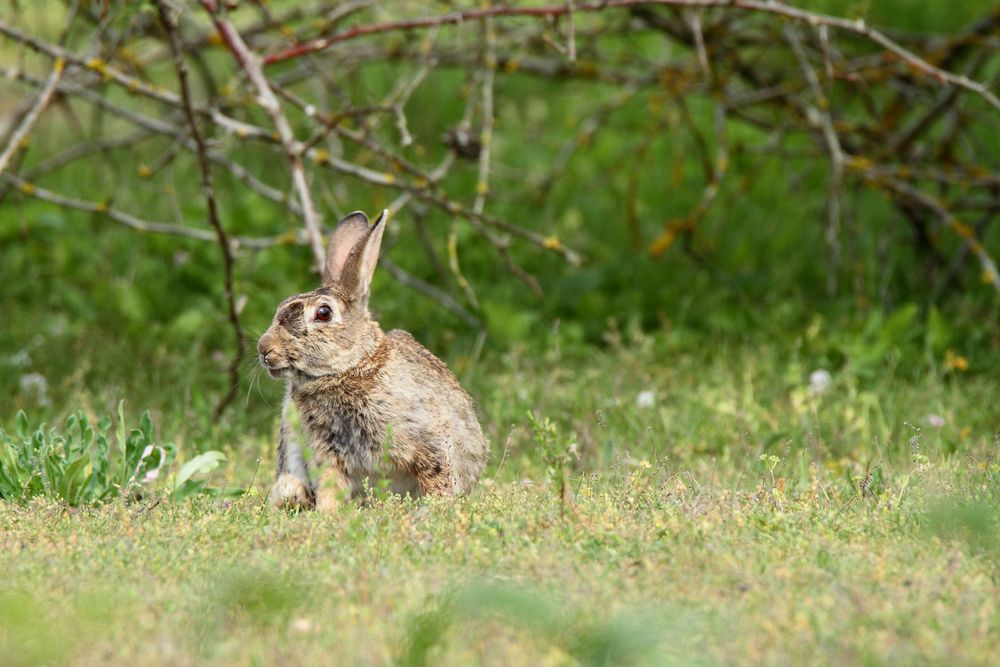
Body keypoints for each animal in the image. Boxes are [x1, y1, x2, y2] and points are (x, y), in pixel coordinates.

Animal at [258, 209, 488, 512]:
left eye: (323, 313)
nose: (264, 349)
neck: (348, 369)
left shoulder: (430, 442)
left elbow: (437, 477)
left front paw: (436, 510)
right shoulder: (326, 453)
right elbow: (331, 485)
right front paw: (327, 515)